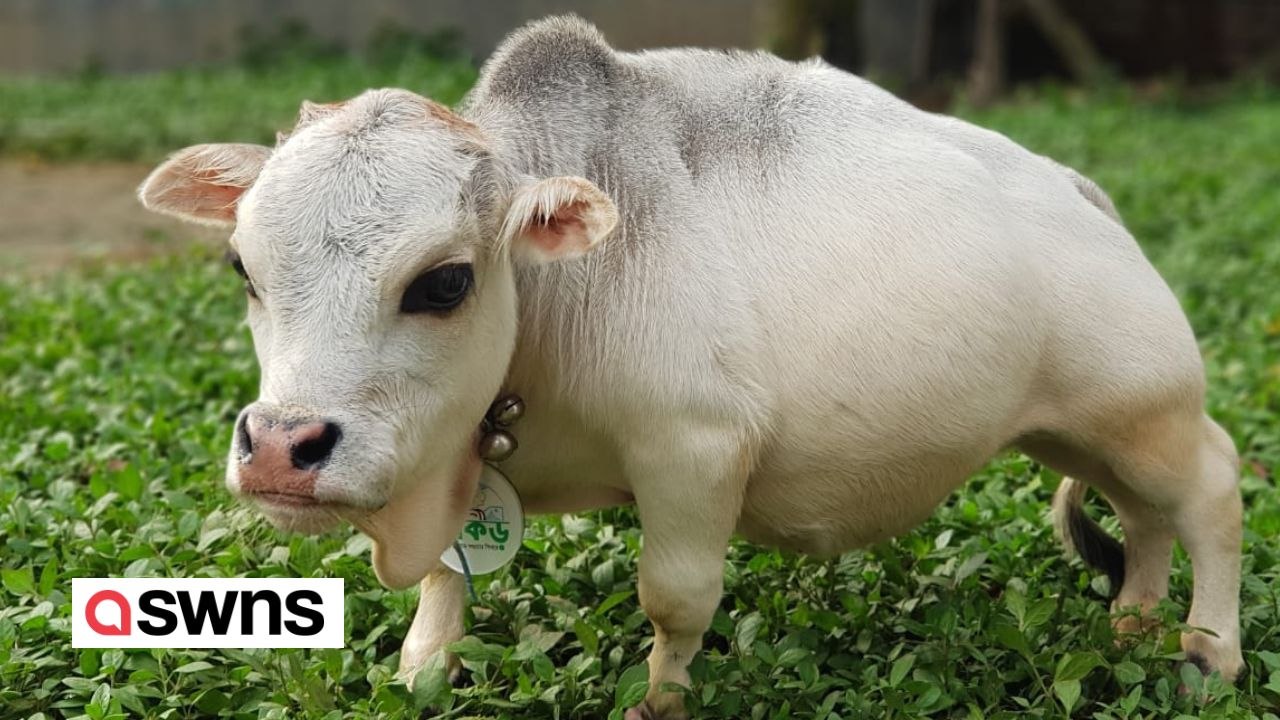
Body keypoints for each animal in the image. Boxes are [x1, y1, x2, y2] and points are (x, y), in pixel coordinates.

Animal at [138, 16, 1243, 719]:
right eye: (242, 266)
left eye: (443, 282)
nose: (280, 448)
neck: (552, 306)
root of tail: (1084, 196)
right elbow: (448, 580)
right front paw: (421, 671)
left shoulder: (694, 452)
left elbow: (673, 599)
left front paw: (660, 701)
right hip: (1077, 435)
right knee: (1145, 518)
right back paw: (1131, 627)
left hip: (1144, 414)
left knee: (1213, 490)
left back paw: (1209, 651)